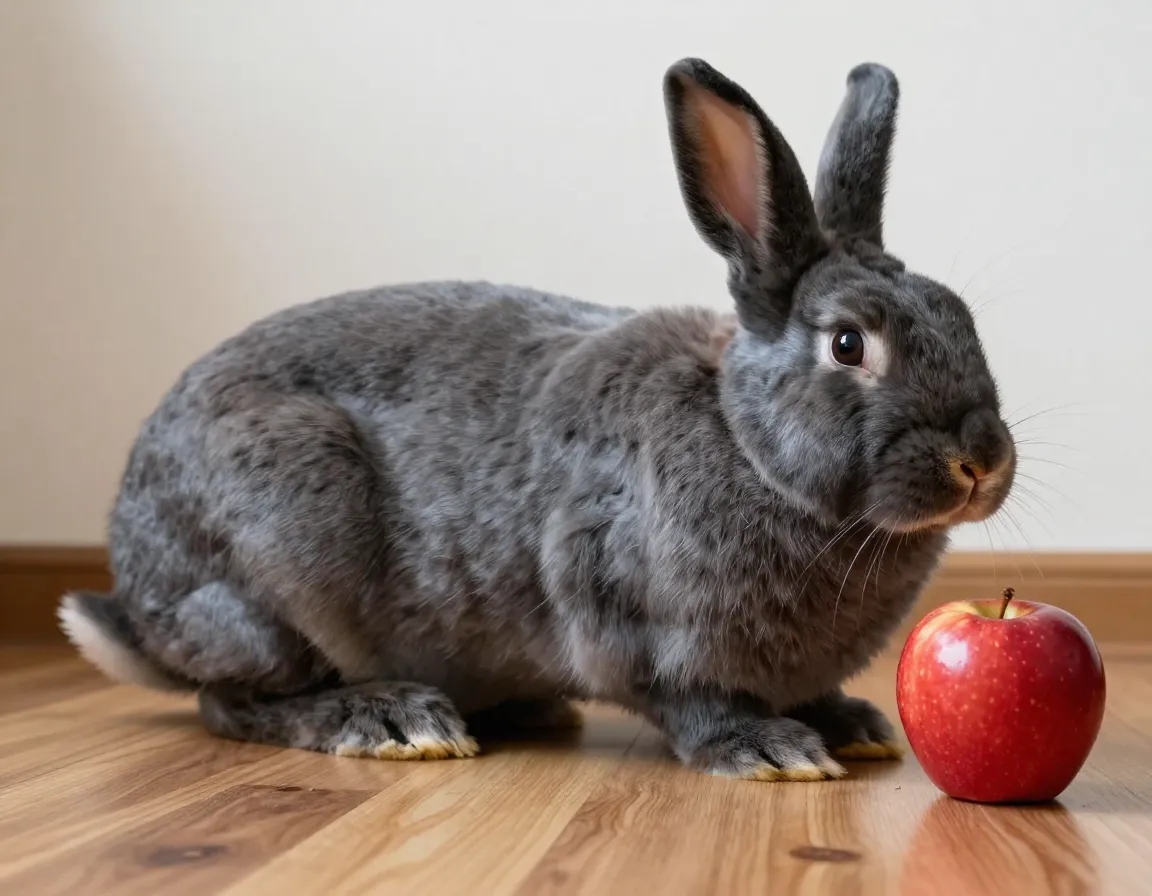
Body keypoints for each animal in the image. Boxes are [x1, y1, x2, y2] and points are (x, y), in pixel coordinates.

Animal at [58, 57, 1016, 781]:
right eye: (849, 344)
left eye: (960, 315)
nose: (981, 462)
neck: (745, 444)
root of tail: (135, 603)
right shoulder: (624, 609)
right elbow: (693, 702)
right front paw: (771, 750)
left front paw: (852, 723)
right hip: (280, 557)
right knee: (232, 699)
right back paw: (392, 720)